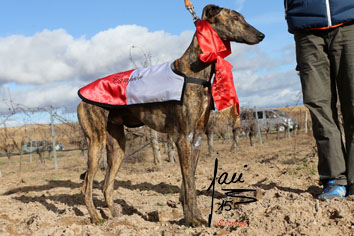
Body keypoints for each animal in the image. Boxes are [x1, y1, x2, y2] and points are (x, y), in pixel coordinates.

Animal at [78, 4, 266, 227]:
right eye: (235, 18)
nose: (262, 35)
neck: (196, 69)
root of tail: (82, 95)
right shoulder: (182, 137)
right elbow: (190, 184)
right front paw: (196, 219)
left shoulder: (197, 138)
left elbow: (188, 181)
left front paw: (188, 217)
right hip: (96, 143)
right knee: (86, 185)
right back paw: (96, 218)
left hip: (117, 147)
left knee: (106, 185)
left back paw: (119, 218)